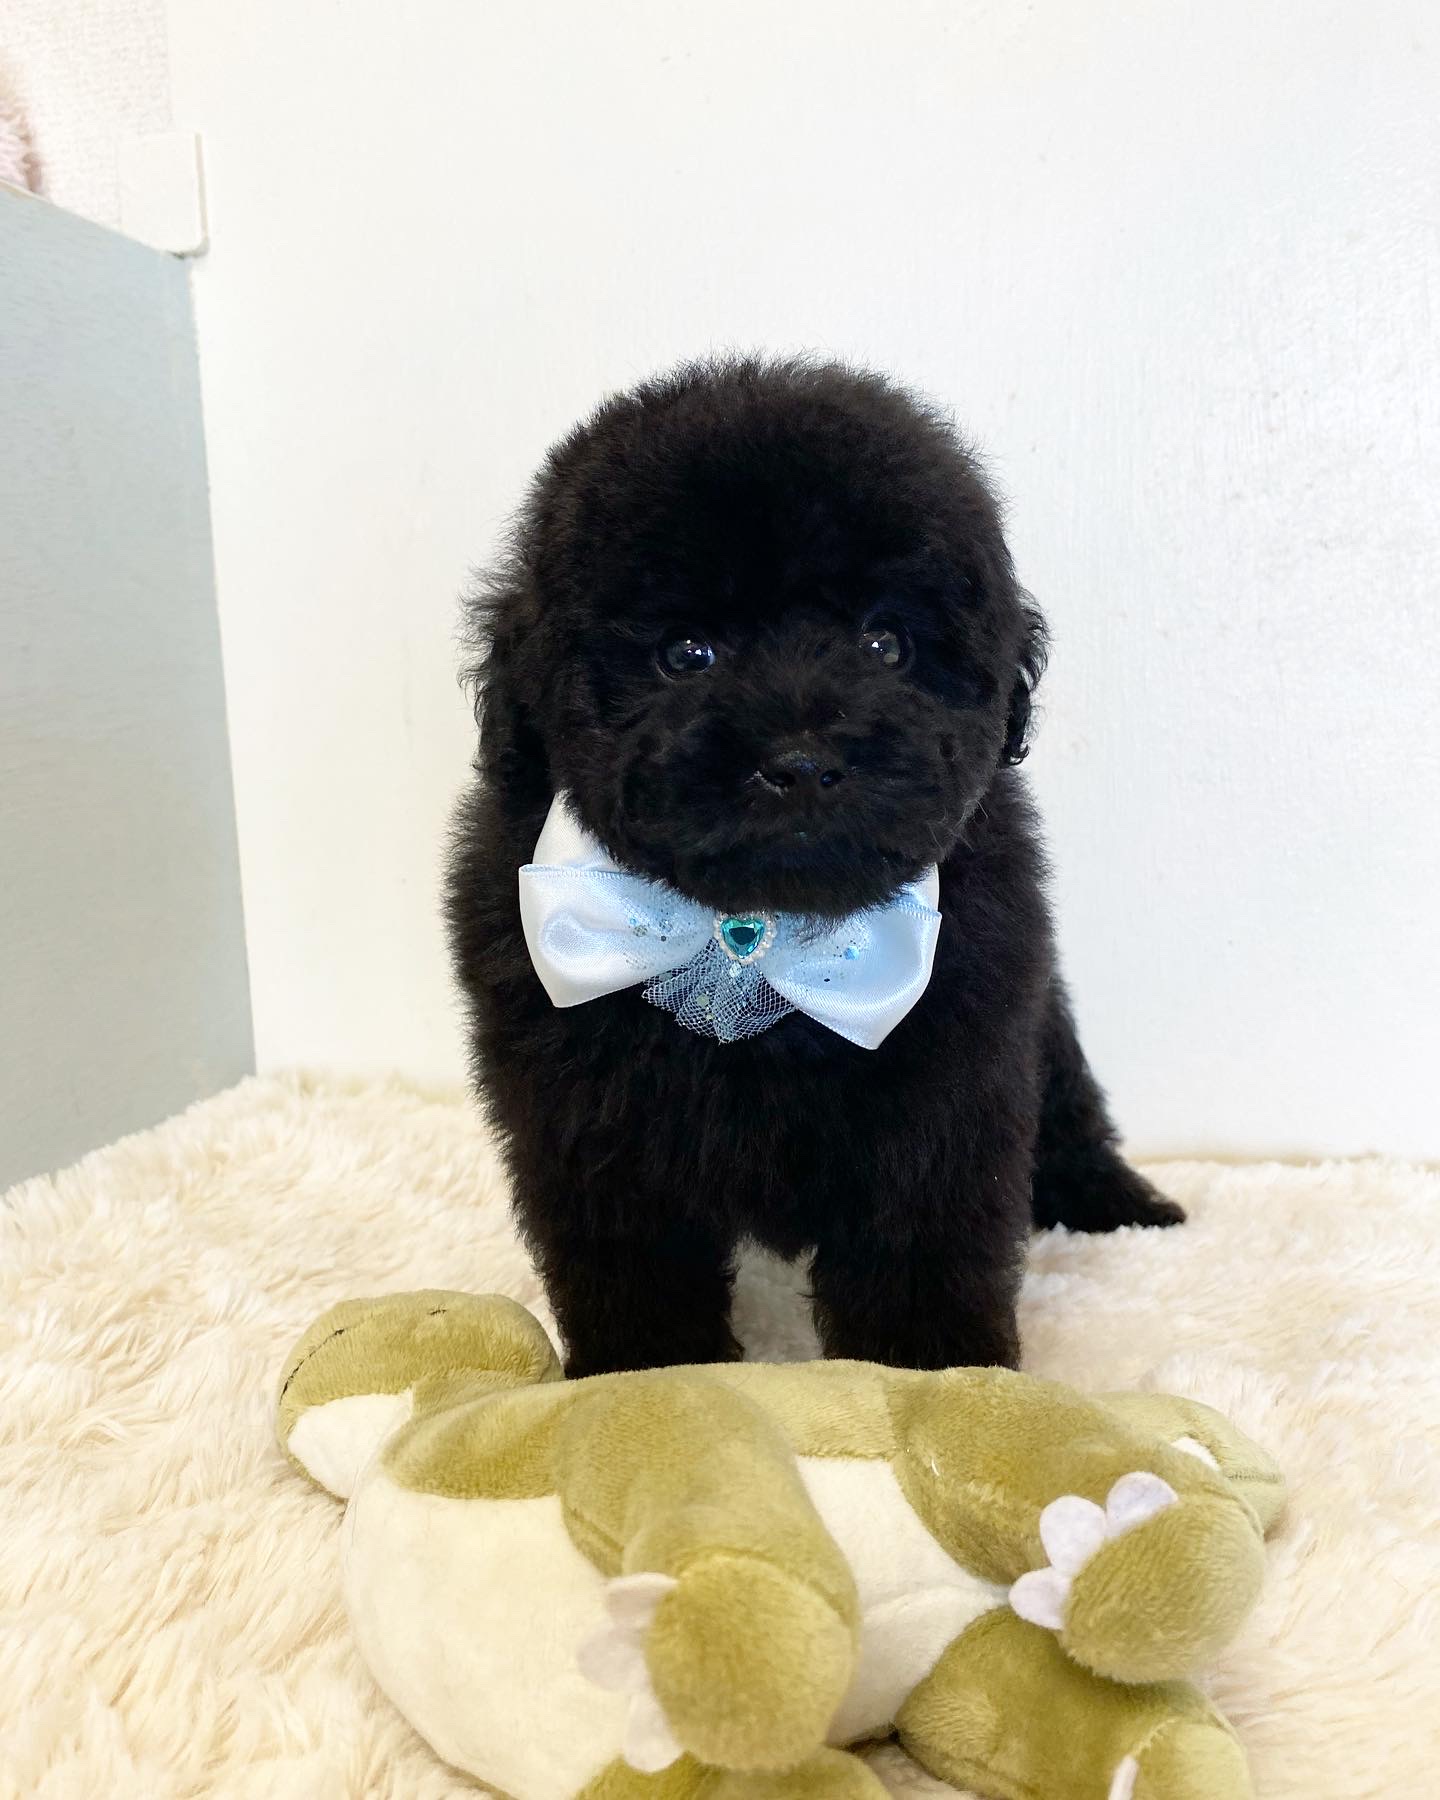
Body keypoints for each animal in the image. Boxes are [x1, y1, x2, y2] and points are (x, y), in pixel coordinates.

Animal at [446, 356, 1181, 1377]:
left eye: (885, 643)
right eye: (686, 652)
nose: (798, 762)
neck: (752, 935)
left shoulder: (947, 1085)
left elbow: (922, 1242)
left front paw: (942, 1373)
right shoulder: (586, 1110)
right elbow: (630, 1256)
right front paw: (644, 1371)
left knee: (1069, 1102)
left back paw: (1120, 1204)